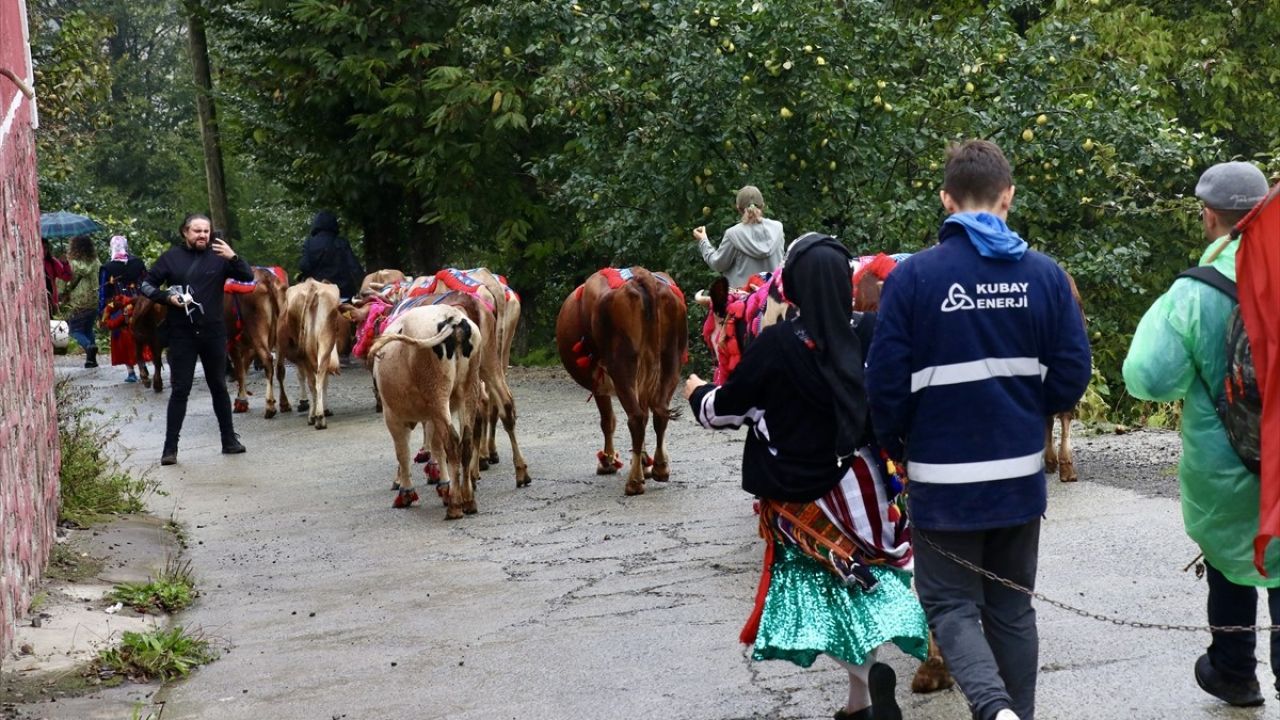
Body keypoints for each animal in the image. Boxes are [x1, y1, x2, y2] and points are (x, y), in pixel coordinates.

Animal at [277, 279, 343, 425]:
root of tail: (312, 286)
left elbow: (300, 375)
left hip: (308, 350)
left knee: (313, 380)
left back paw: (314, 416)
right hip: (325, 342)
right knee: (319, 377)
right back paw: (320, 416)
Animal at [373, 302, 486, 515]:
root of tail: (452, 317)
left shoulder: (392, 415)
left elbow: (402, 452)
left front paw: (405, 492)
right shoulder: (432, 415)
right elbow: (436, 447)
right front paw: (443, 485)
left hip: (437, 393)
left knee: (452, 441)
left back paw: (455, 505)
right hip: (468, 389)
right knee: (465, 440)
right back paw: (468, 500)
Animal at [555, 265, 686, 491]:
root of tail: (641, 275)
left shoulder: (599, 382)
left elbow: (608, 420)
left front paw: (608, 461)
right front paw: (644, 462)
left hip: (621, 364)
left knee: (636, 418)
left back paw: (634, 481)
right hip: (672, 358)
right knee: (657, 413)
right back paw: (660, 468)